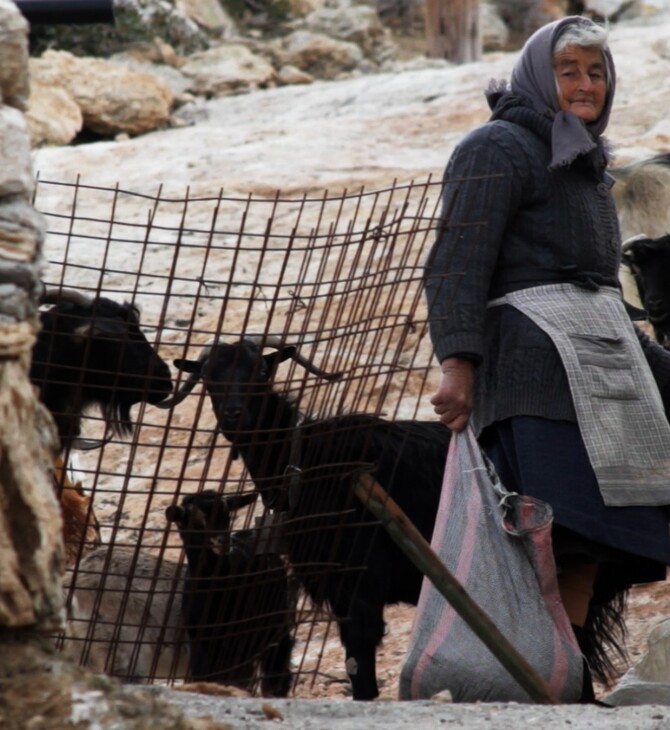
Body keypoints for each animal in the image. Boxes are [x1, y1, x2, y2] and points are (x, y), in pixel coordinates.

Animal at [165, 486, 294, 692]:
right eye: (194, 520)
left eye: (227, 514)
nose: (223, 541)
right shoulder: (201, 643)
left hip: (274, 620)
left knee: (276, 672)